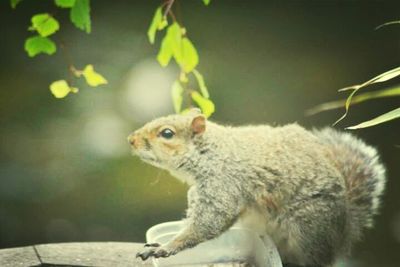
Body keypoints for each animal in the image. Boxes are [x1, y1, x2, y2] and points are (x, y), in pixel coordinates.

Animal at [128, 109, 384, 267]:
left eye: (167, 133)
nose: (131, 140)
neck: (211, 153)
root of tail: (346, 230)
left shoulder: (223, 184)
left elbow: (208, 223)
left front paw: (165, 247)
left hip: (308, 228)